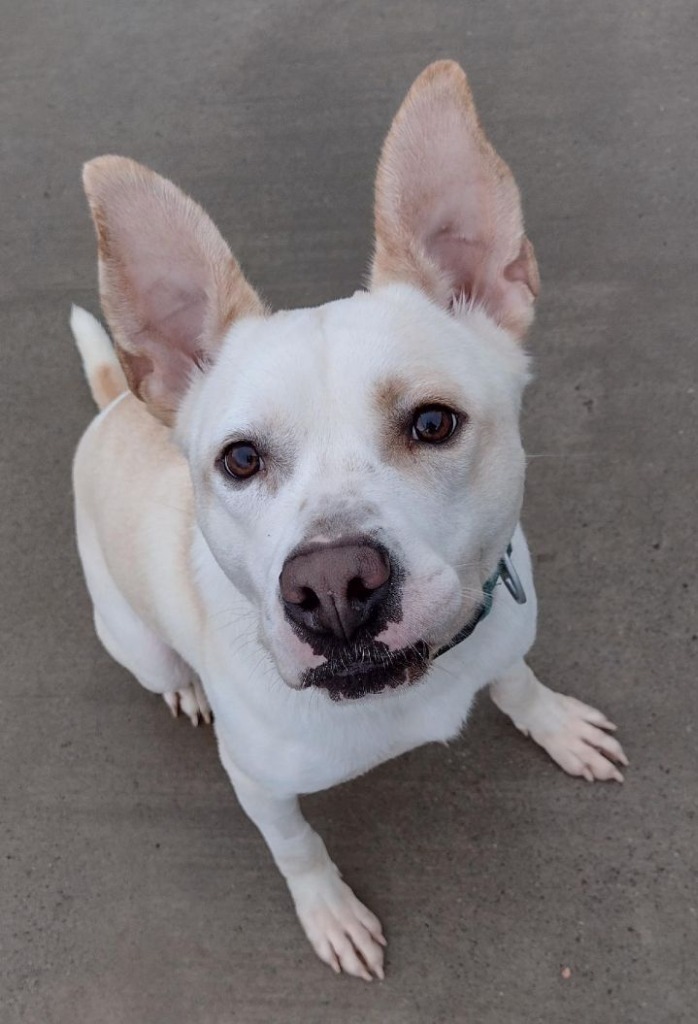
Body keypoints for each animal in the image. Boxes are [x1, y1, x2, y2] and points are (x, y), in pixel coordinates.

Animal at [69, 59, 626, 978]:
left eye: (433, 422)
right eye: (240, 460)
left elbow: (516, 679)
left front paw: (555, 725)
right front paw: (328, 911)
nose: (332, 587)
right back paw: (187, 687)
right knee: (160, 667)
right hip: (134, 640)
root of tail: (120, 400)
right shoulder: (260, 787)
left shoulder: (502, 629)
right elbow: (298, 848)